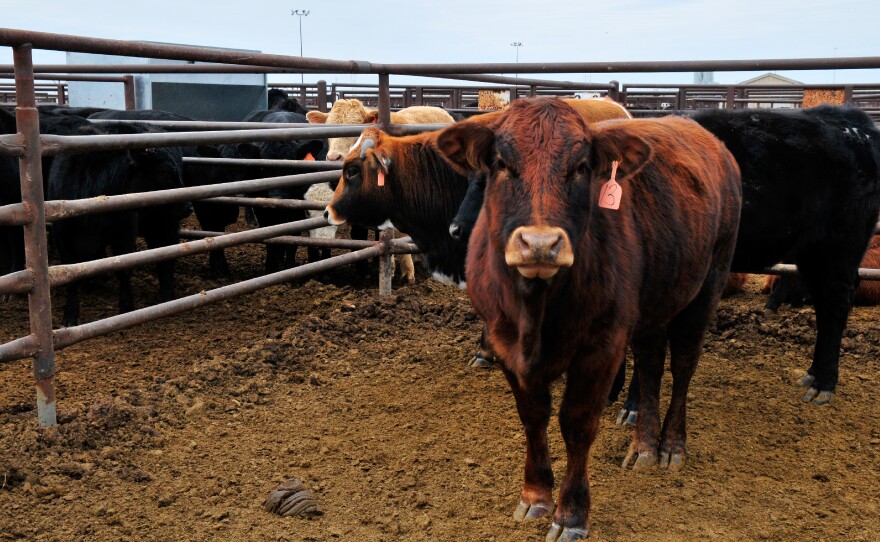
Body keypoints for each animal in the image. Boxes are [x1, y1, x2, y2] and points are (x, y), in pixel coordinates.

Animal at [48, 122, 188, 326]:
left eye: (177, 172)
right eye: (165, 174)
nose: (189, 206)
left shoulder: (125, 231)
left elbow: (123, 267)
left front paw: (126, 307)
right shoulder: (62, 237)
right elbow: (72, 274)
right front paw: (70, 314)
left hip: (164, 224)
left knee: (166, 256)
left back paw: (167, 295)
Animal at [435, 98, 742, 540]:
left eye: (581, 167)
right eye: (501, 163)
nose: (540, 244)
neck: (536, 310)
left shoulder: (602, 346)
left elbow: (577, 424)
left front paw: (571, 514)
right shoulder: (505, 343)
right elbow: (533, 417)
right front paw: (534, 496)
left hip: (708, 285)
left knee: (683, 365)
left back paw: (670, 446)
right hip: (652, 305)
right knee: (650, 364)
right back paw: (643, 445)